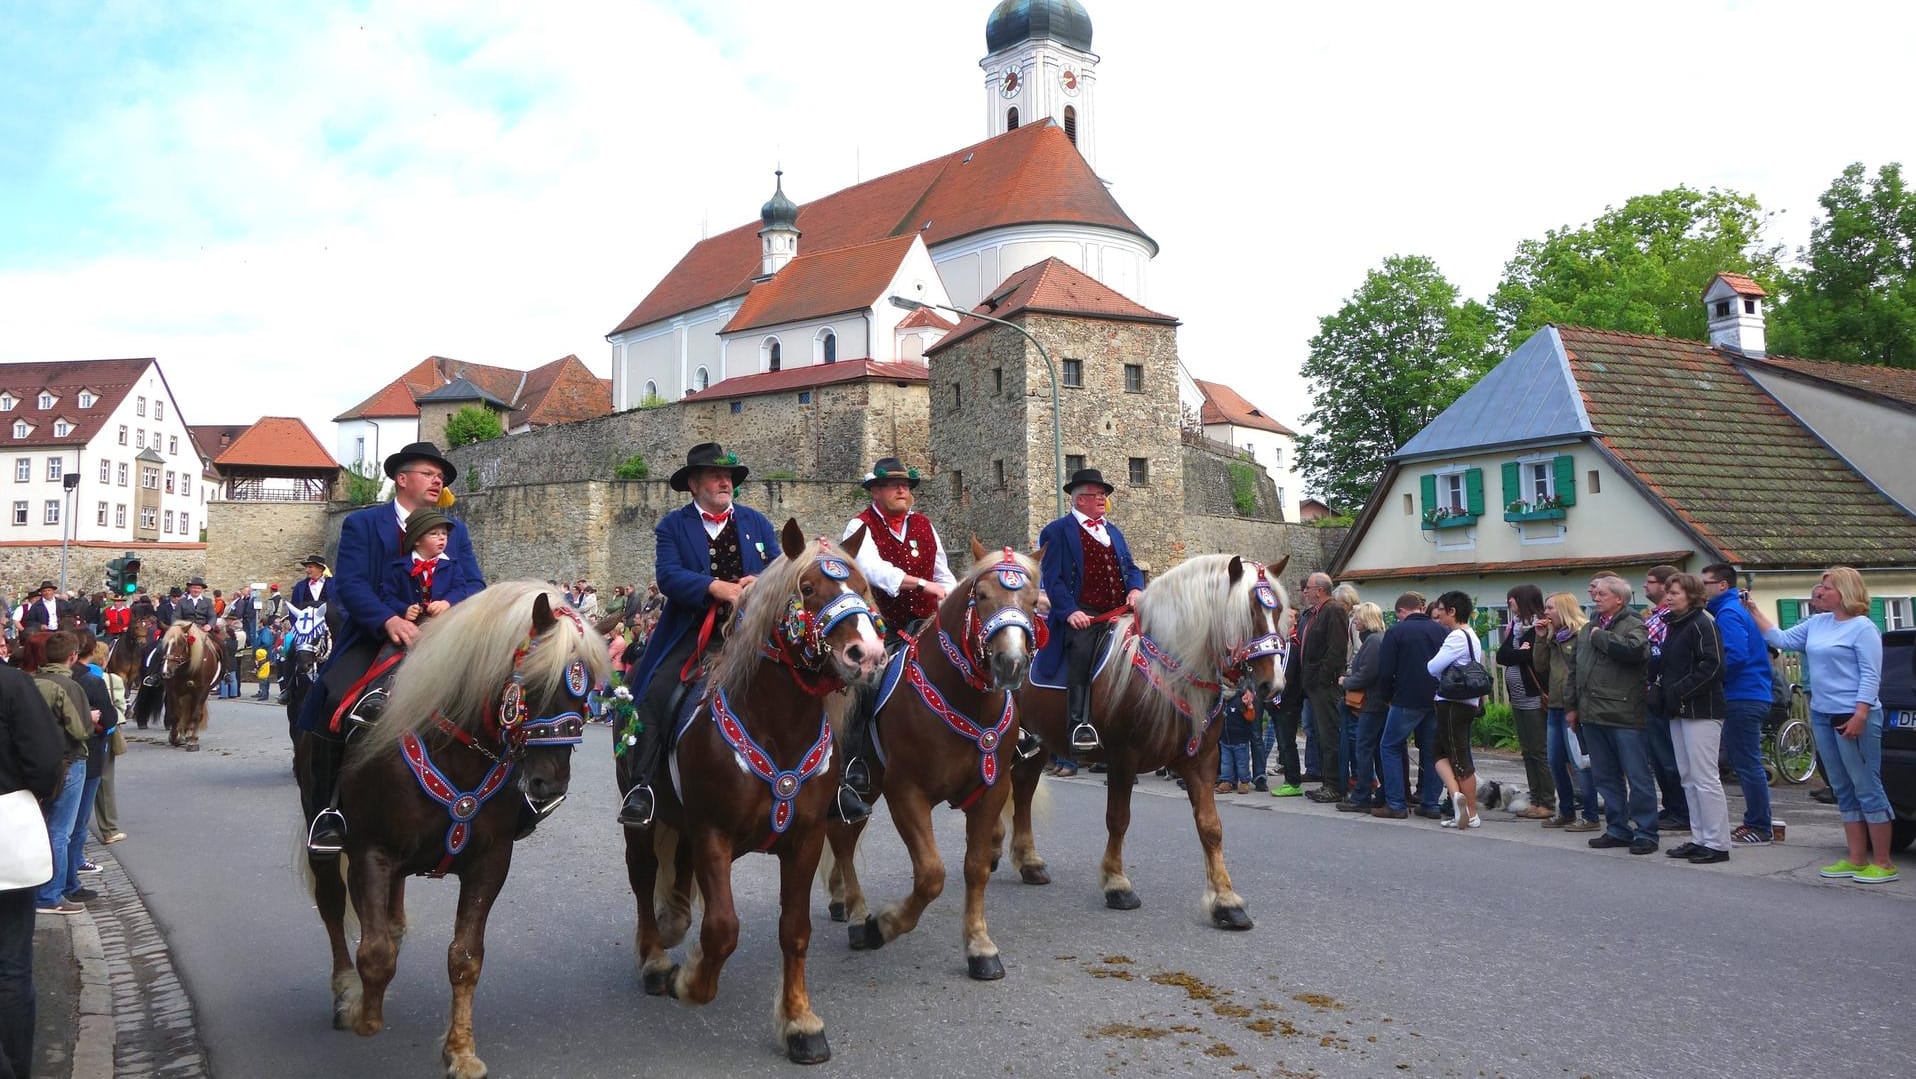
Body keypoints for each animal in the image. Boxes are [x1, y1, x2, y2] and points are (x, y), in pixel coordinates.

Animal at [298, 582, 605, 1079]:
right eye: (534, 684)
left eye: (588, 690)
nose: (550, 783)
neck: (456, 747)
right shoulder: (370, 852)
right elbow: (374, 953)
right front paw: (365, 1013)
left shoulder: (489, 863)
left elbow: (465, 958)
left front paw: (460, 1050)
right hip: (321, 835)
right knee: (331, 905)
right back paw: (345, 990)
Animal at [632, 517, 892, 1065]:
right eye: (808, 588)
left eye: (863, 587)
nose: (868, 655)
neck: (777, 726)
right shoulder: (713, 833)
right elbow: (722, 929)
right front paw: (691, 983)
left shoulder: (805, 838)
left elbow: (794, 931)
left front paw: (800, 1023)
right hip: (644, 824)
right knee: (643, 880)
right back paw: (655, 960)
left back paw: (674, 925)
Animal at [816, 540, 1042, 981]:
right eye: (982, 595)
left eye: (1034, 600)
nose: (1011, 664)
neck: (961, 698)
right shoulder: (905, 793)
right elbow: (931, 875)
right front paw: (882, 925)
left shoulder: (991, 791)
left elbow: (975, 867)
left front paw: (980, 947)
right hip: (860, 786)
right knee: (842, 840)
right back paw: (857, 916)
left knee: (843, 837)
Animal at [1003, 555, 1287, 927]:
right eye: (1248, 612)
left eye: (1278, 610)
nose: (1274, 685)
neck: (1172, 670)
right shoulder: (1124, 757)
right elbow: (1118, 818)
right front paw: (1117, 884)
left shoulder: (1202, 761)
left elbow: (1211, 827)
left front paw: (1226, 901)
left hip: (1040, 741)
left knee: (1023, 789)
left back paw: (1028, 862)